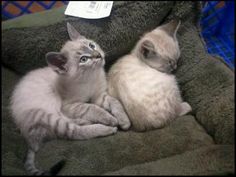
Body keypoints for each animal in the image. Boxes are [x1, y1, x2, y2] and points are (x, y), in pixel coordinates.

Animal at [10, 22, 130, 176]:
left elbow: (115, 102)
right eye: (84, 59)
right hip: (47, 115)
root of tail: (29, 141)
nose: (98, 55)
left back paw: (88, 121)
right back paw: (107, 128)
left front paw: (123, 120)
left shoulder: (99, 96)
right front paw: (110, 119)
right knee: (74, 132)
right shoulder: (70, 105)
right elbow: (92, 108)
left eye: (92, 45)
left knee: (73, 124)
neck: (91, 78)